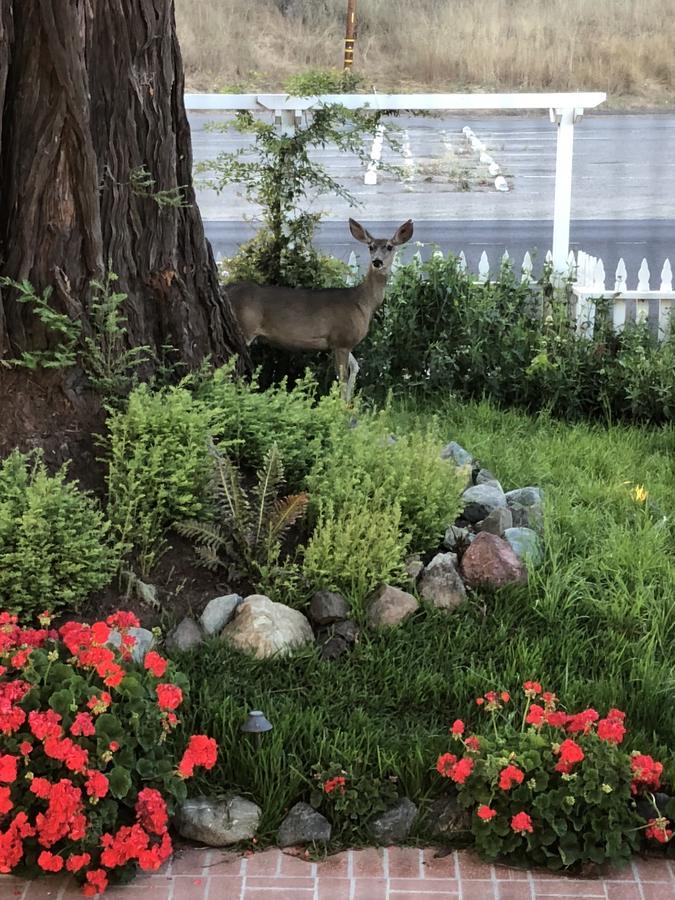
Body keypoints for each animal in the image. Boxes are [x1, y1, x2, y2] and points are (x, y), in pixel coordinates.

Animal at [227, 216, 414, 400]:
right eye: (371, 246)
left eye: (389, 246)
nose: (377, 262)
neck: (362, 302)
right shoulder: (342, 339)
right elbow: (342, 378)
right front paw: (342, 405)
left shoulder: (339, 342)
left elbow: (356, 367)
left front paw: (351, 404)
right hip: (244, 329)